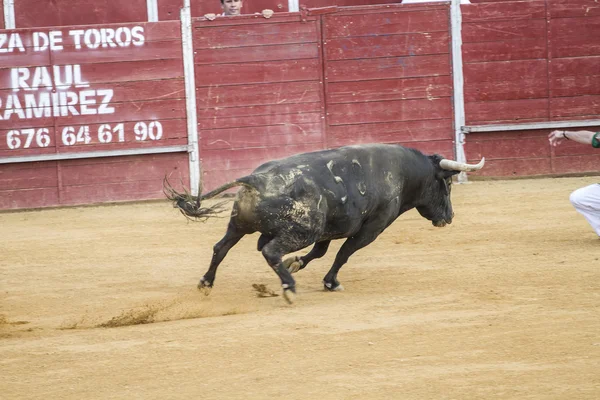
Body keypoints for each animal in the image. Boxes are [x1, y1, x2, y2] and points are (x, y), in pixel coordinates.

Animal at [164, 144, 482, 304]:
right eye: (447, 185)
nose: (449, 217)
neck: (403, 172)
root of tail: (255, 178)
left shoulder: (334, 226)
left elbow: (321, 251)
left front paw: (296, 264)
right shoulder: (371, 228)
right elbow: (343, 254)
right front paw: (331, 282)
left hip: (239, 225)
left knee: (221, 247)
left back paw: (206, 283)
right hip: (303, 230)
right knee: (270, 251)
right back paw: (289, 288)